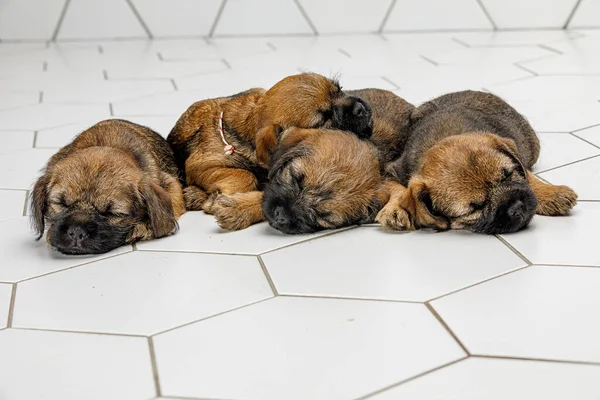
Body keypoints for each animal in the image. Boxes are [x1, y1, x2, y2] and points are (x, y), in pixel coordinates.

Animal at [378, 90, 580, 234]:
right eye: (475, 207)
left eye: (508, 175)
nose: (516, 207)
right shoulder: (391, 171)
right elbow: (397, 189)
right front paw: (394, 210)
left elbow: (528, 176)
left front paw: (552, 193)